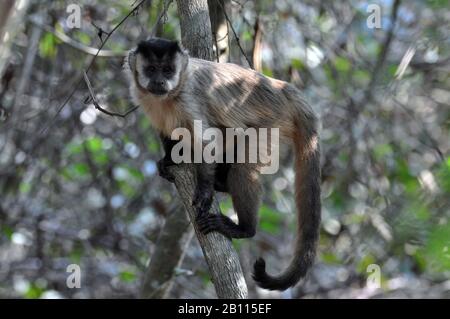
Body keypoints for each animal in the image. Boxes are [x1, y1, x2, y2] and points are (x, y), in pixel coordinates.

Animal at [123, 37, 320, 292]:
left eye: (167, 70)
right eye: (151, 70)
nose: (159, 81)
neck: (170, 95)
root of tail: (281, 87)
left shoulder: (189, 98)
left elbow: (207, 141)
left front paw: (205, 190)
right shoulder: (142, 96)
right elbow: (169, 133)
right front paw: (170, 159)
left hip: (273, 121)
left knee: (243, 166)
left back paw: (244, 228)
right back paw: (221, 184)